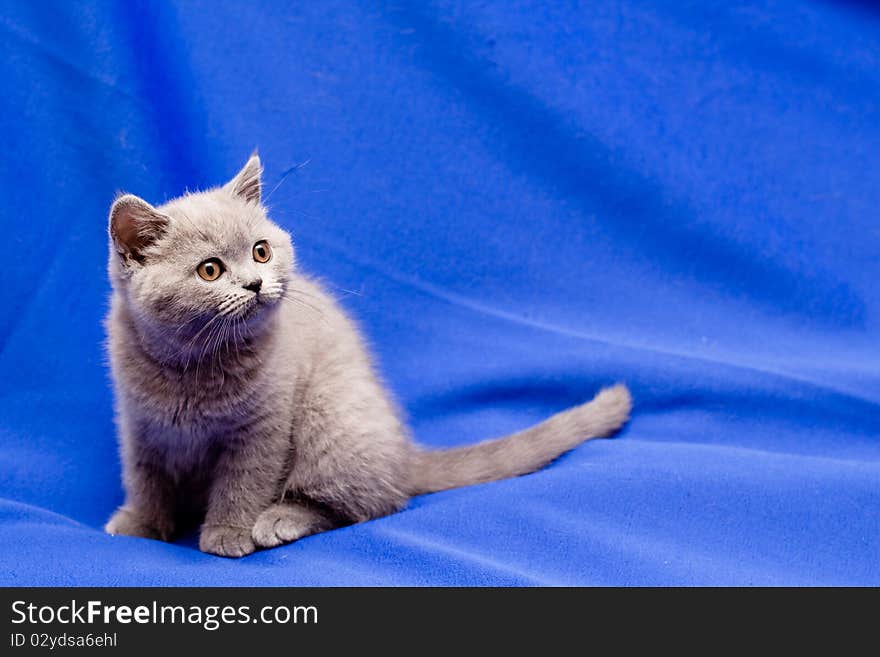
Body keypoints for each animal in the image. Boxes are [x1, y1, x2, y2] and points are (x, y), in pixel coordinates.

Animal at [103, 155, 632, 560]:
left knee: (373, 503)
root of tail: (403, 453)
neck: (190, 370)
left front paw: (227, 533)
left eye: (261, 251)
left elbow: (242, 482)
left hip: (330, 413)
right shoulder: (139, 425)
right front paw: (140, 524)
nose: (254, 283)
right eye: (210, 270)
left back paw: (280, 519)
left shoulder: (261, 429)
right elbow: (144, 477)